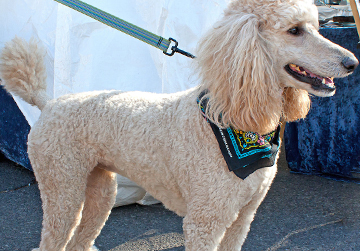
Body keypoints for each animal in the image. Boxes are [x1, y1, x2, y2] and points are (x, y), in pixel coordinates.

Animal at [0, 0, 358, 249]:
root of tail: (49, 104)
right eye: (294, 30)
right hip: (62, 189)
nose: (352, 62)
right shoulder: (205, 221)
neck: (234, 116)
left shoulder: (242, 219)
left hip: (100, 190)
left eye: (316, 27)